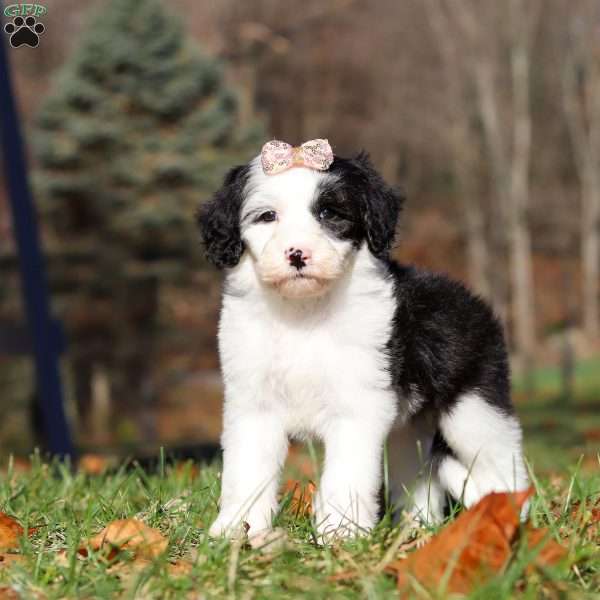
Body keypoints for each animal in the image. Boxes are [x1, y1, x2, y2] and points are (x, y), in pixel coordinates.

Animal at [197, 139, 524, 540]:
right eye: (267, 216)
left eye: (330, 213)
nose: (297, 254)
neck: (304, 313)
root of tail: (475, 302)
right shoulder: (253, 405)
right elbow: (246, 471)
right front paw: (236, 530)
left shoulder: (356, 406)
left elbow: (346, 476)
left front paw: (340, 534)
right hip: (412, 429)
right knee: (418, 474)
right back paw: (418, 529)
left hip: (473, 408)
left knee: (502, 460)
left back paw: (510, 516)